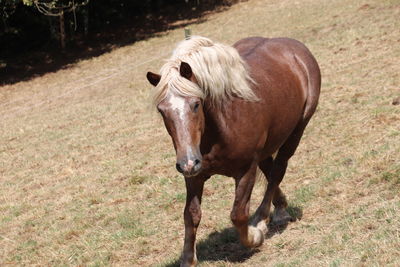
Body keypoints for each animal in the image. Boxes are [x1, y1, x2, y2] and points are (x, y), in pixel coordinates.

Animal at [145, 36, 320, 267]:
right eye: (162, 110)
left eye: (196, 104)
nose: (187, 163)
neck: (221, 126)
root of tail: (295, 47)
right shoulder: (194, 176)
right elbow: (191, 215)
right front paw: (188, 259)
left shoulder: (245, 171)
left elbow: (238, 214)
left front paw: (255, 236)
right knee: (270, 170)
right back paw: (280, 208)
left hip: (296, 131)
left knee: (277, 171)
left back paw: (265, 219)